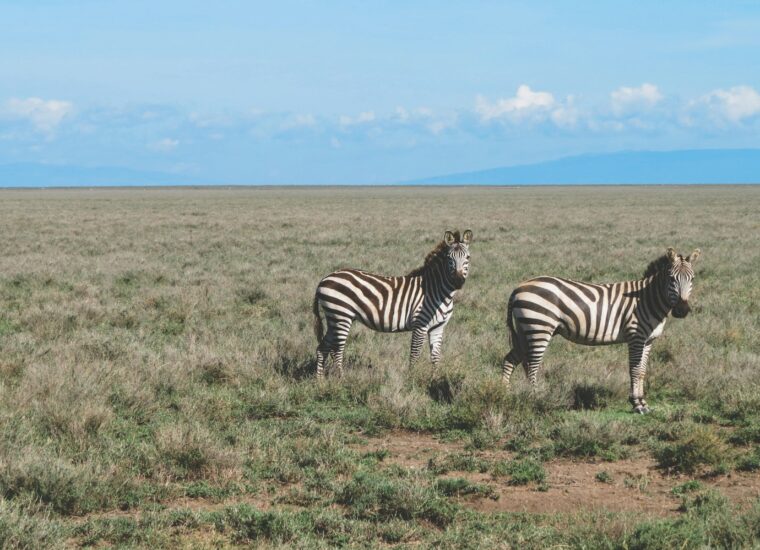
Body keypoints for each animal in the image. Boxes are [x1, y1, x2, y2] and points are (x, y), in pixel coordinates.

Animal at [312, 229, 472, 378]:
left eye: (468, 257)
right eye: (449, 258)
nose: (458, 281)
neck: (438, 291)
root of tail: (325, 278)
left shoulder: (438, 328)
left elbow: (435, 357)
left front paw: (435, 378)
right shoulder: (420, 324)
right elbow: (415, 354)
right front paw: (411, 379)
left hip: (334, 318)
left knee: (322, 348)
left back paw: (320, 382)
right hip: (341, 315)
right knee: (337, 351)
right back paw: (342, 380)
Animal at [501, 247, 700, 413]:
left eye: (692, 279)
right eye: (671, 279)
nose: (682, 310)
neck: (646, 299)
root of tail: (519, 287)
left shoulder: (648, 340)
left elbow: (642, 371)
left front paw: (643, 402)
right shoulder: (636, 336)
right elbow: (635, 370)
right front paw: (636, 404)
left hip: (524, 332)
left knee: (510, 359)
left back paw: (504, 394)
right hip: (539, 328)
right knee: (532, 366)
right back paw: (536, 398)